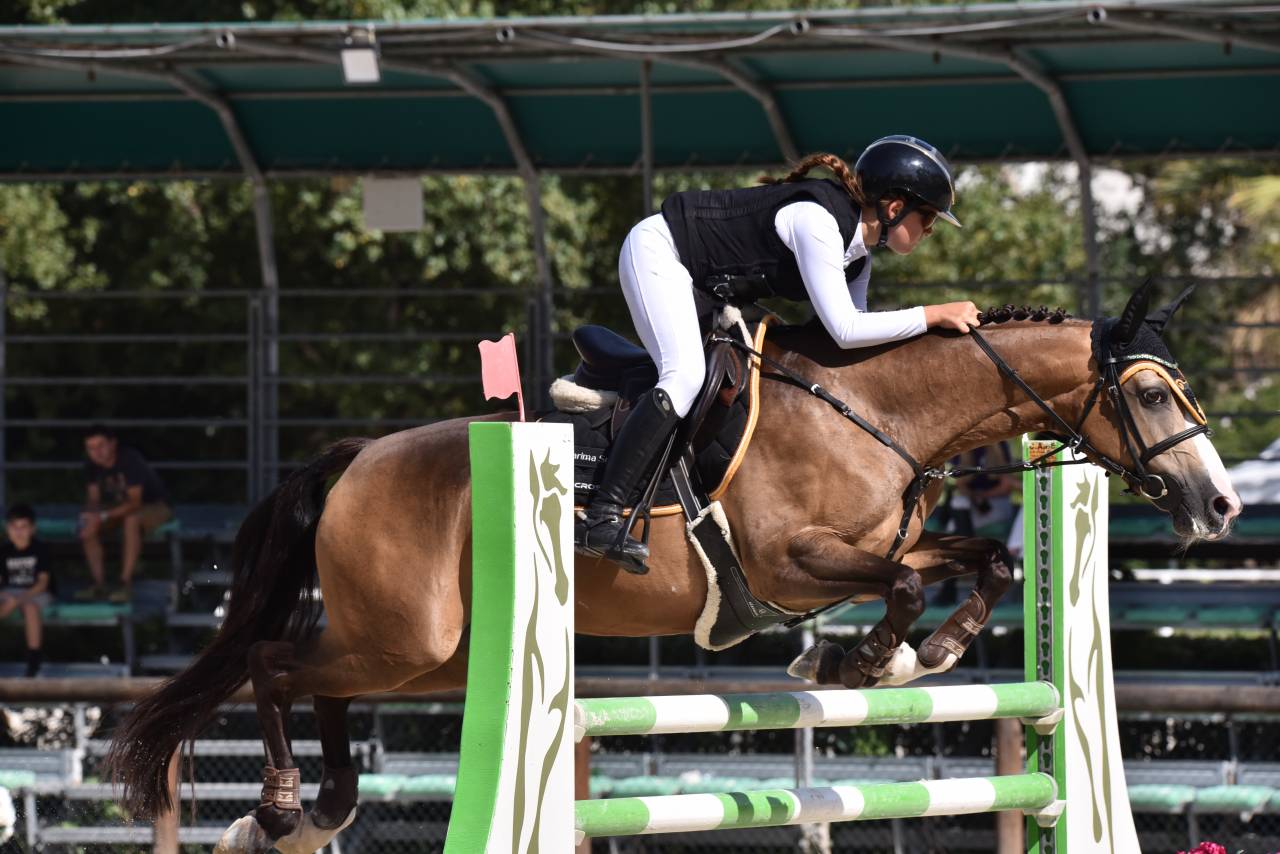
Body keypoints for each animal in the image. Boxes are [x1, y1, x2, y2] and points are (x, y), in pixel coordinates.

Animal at [106, 281, 1241, 853]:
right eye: (1149, 393)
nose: (1218, 503)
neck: (877, 407)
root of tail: (356, 457)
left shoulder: (876, 543)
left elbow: (986, 558)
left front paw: (920, 655)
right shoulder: (795, 563)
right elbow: (906, 583)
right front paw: (860, 661)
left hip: (426, 655)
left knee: (319, 680)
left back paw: (328, 800)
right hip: (406, 636)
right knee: (274, 665)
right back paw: (283, 802)